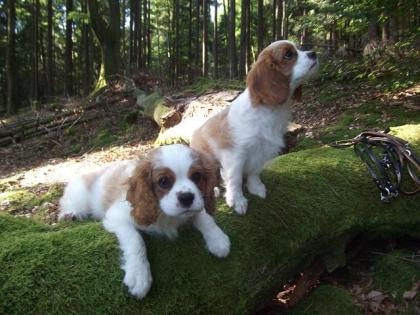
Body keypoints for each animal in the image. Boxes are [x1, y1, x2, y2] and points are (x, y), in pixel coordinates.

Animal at [57, 144, 231, 300]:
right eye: (163, 181)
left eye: (196, 176)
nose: (187, 198)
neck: (164, 214)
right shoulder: (117, 217)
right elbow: (136, 241)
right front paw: (139, 275)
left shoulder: (195, 207)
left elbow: (204, 216)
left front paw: (217, 239)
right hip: (79, 194)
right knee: (69, 203)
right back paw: (69, 214)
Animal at [190, 39, 318, 215]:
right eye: (288, 55)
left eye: (299, 49)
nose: (314, 53)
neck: (270, 110)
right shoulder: (235, 155)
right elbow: (235, 179)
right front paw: (237, 200)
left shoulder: (262, 151)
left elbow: (254, 172)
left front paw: (255, 187)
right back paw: (214, 190)